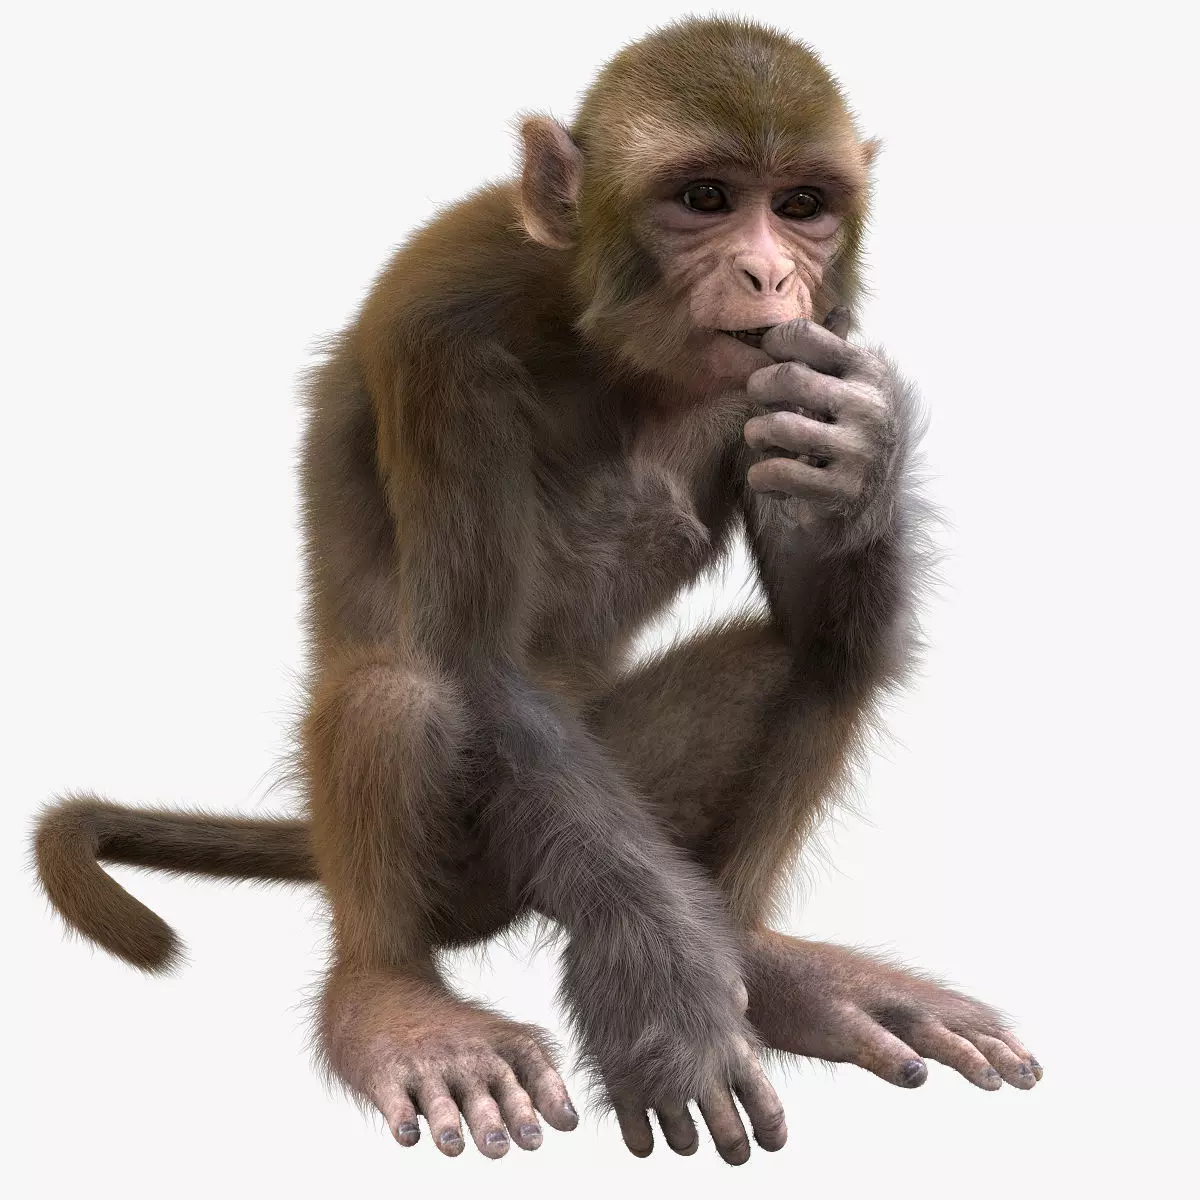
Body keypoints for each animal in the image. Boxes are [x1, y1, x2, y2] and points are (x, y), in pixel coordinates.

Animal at [32, 16, 1042, 1165]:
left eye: (800, 207)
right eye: (705, 198)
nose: (767, 273)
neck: (596, 334)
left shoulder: (820, 335)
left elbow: (818, 610)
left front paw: (860, 455)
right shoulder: (441, 322)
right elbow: (479, 661)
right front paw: (661, 1002)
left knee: (826, 651)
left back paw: (763, 962)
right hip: (480, 869)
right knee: (400, 690)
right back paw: (393, 1000)